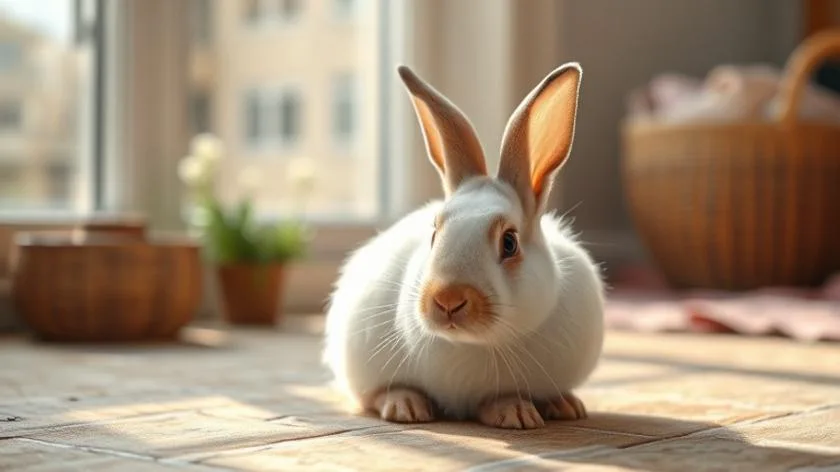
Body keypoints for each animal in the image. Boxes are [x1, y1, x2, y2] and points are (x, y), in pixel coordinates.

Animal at [322, 62, 605, 429]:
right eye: (434, 233)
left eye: (510, 243)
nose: (447, 300)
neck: (478, 344)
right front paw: (515, 412)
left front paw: (522, 412)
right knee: (376, 394)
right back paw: (405, 406)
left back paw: (566, 405)